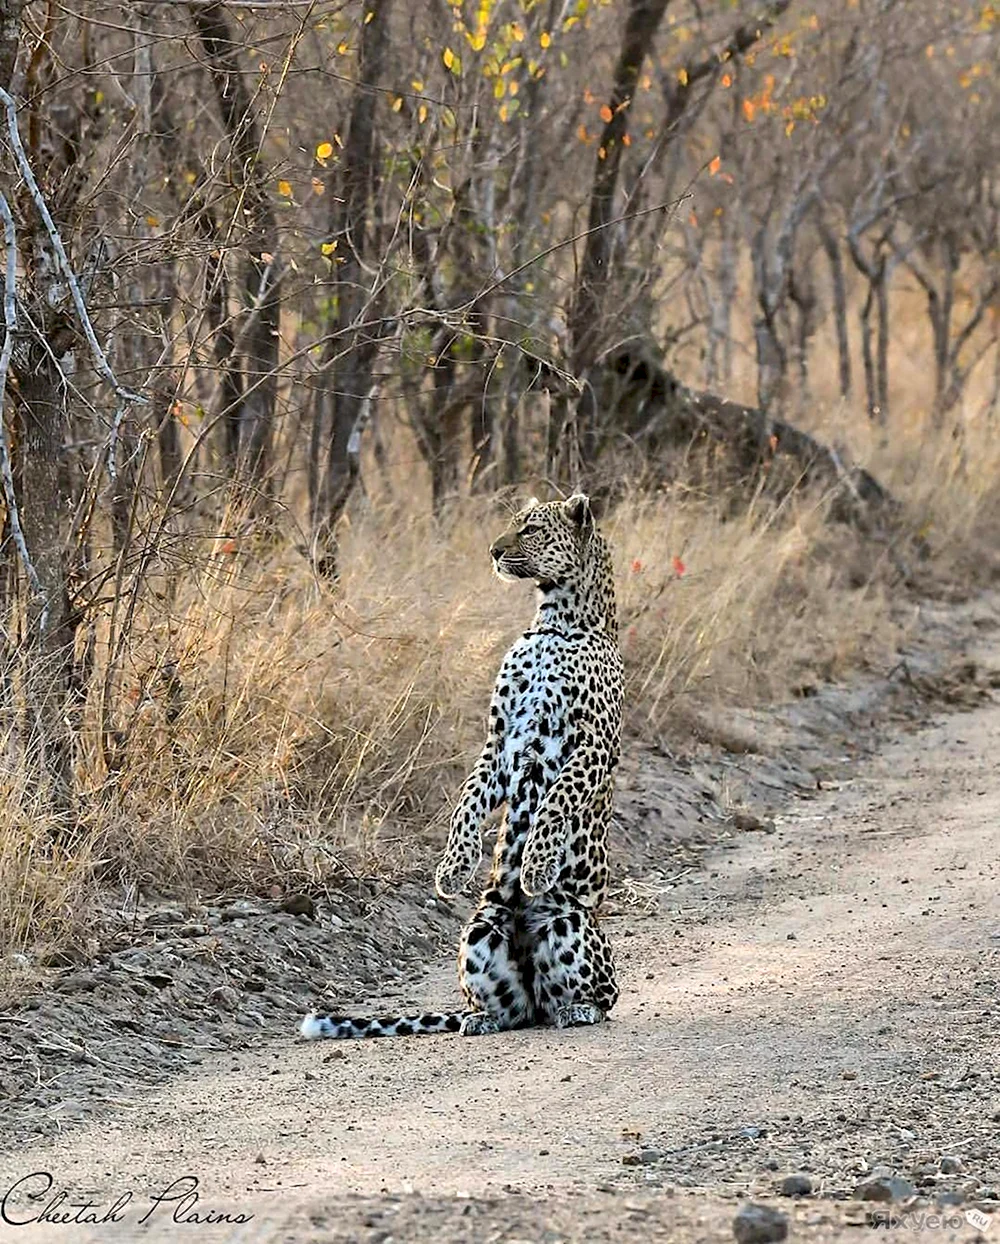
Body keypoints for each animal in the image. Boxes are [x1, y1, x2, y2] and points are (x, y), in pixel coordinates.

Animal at [300, 492, 621, 1039]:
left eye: (532, 530)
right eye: (512, 525)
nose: (493, 550)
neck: (554, 621)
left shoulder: (593, 744)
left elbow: (557, 800)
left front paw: (536, 866)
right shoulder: (499, 741)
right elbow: (467, 802)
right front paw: (452, 869)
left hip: (570, 922)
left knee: (602, 994)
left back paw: (577, 1009)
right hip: (479, 930)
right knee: (512, 1010)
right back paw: (481, 1019)